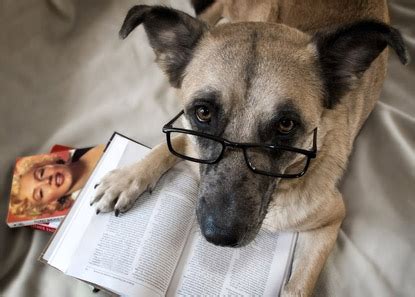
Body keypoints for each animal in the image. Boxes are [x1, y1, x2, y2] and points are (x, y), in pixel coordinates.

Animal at [92, 1, 410, 294]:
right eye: (203, 112)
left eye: (286, 125)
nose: (219, 237)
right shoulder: (185, 128)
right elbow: (171, 143)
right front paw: (128, 178)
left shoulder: (331, 220)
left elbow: (298, 285)